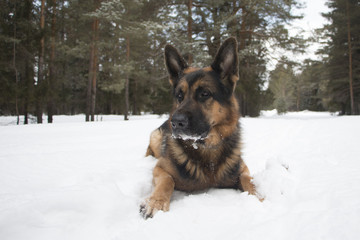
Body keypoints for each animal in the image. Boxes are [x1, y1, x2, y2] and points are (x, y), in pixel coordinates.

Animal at [140, 37, 256, 219]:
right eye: (179, 96)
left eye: (204, 94)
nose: (175, 122)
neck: (207, 150)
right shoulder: (160, 168)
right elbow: (167, 181)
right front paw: (156, 202)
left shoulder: (243, 169)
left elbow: (249, 181)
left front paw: (260, 198)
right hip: (155, 137)